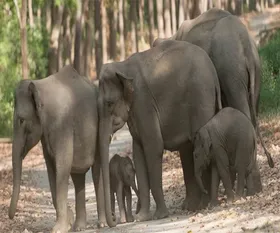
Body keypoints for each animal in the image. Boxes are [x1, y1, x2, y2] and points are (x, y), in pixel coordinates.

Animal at [8, 65, 106, 233]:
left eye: (21, 120)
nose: (10, 217)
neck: (40, 85)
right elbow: (51, 168)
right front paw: (67, 221)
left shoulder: (62, 125)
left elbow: (62, 165)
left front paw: (59, 228)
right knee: (78, 177)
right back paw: (79, 227)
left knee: (96, 171)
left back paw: (102, 224)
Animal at [97, 40, 222, 228]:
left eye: (110, 103)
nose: (113, 222)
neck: (123, 66)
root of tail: (213, 71)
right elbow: (138, 152)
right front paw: (142, 217)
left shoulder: (144, 103)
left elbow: (153, 146)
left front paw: (160, 216)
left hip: (201, 97)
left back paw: (205, 204)